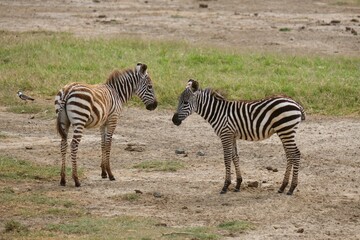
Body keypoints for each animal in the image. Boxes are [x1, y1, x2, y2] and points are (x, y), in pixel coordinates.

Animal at [173, 79, 306, 196]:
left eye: (185, 102)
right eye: (179, 101)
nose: (174, 120)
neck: (218, 112)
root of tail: (294, 102)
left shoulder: (225, 134)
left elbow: (227, 158)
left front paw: (225, 186)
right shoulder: (232, 135)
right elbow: (234, 157)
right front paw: (238, 184)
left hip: (286, 130)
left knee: (295, 154)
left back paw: (291, 188)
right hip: (284, 131)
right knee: (290, 155)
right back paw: (283, 186)